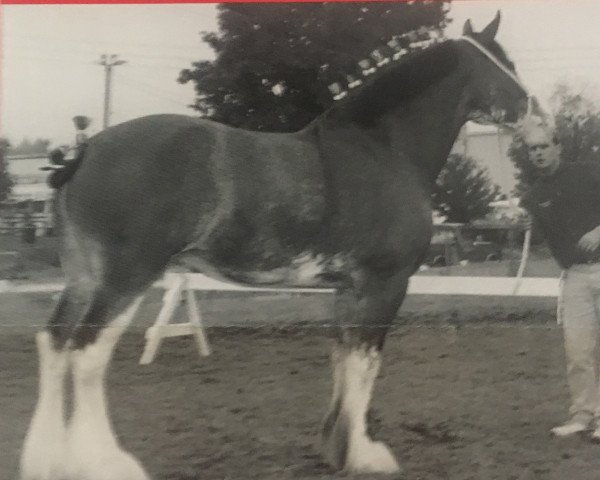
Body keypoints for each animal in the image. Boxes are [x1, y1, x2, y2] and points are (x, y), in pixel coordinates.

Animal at [19, 15, 524, 480]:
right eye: (505, 60)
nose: (526, 104)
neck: (380, 149)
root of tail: (86, 150)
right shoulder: (385, 284)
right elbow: (366, 364)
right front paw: (365, 455)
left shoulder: (348, 289)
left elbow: (343, 361)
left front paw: (337, 448)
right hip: (126, 277)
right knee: (87, 355)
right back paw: (107, 463)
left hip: (84, 278)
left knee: (55, 343)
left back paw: (45, 460)